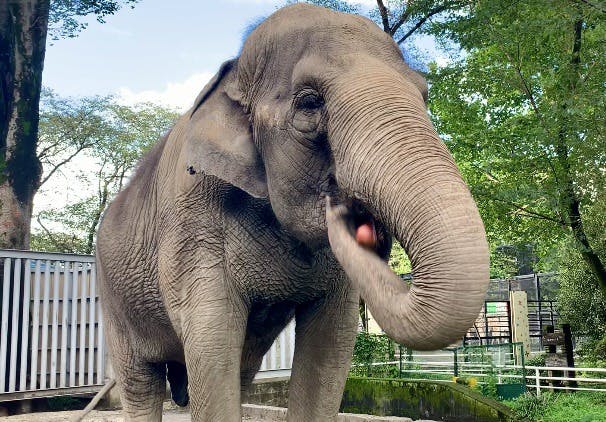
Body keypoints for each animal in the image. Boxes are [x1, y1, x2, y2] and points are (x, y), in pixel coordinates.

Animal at [97, 4, 492, 422]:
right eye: (309, 103)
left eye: (424, 96)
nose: (347, 210)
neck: (233, 75)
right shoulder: (192, 223)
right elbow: (212, 336)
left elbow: (330, 344)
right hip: (114, 302)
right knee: (141, 383)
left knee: (239, 373)